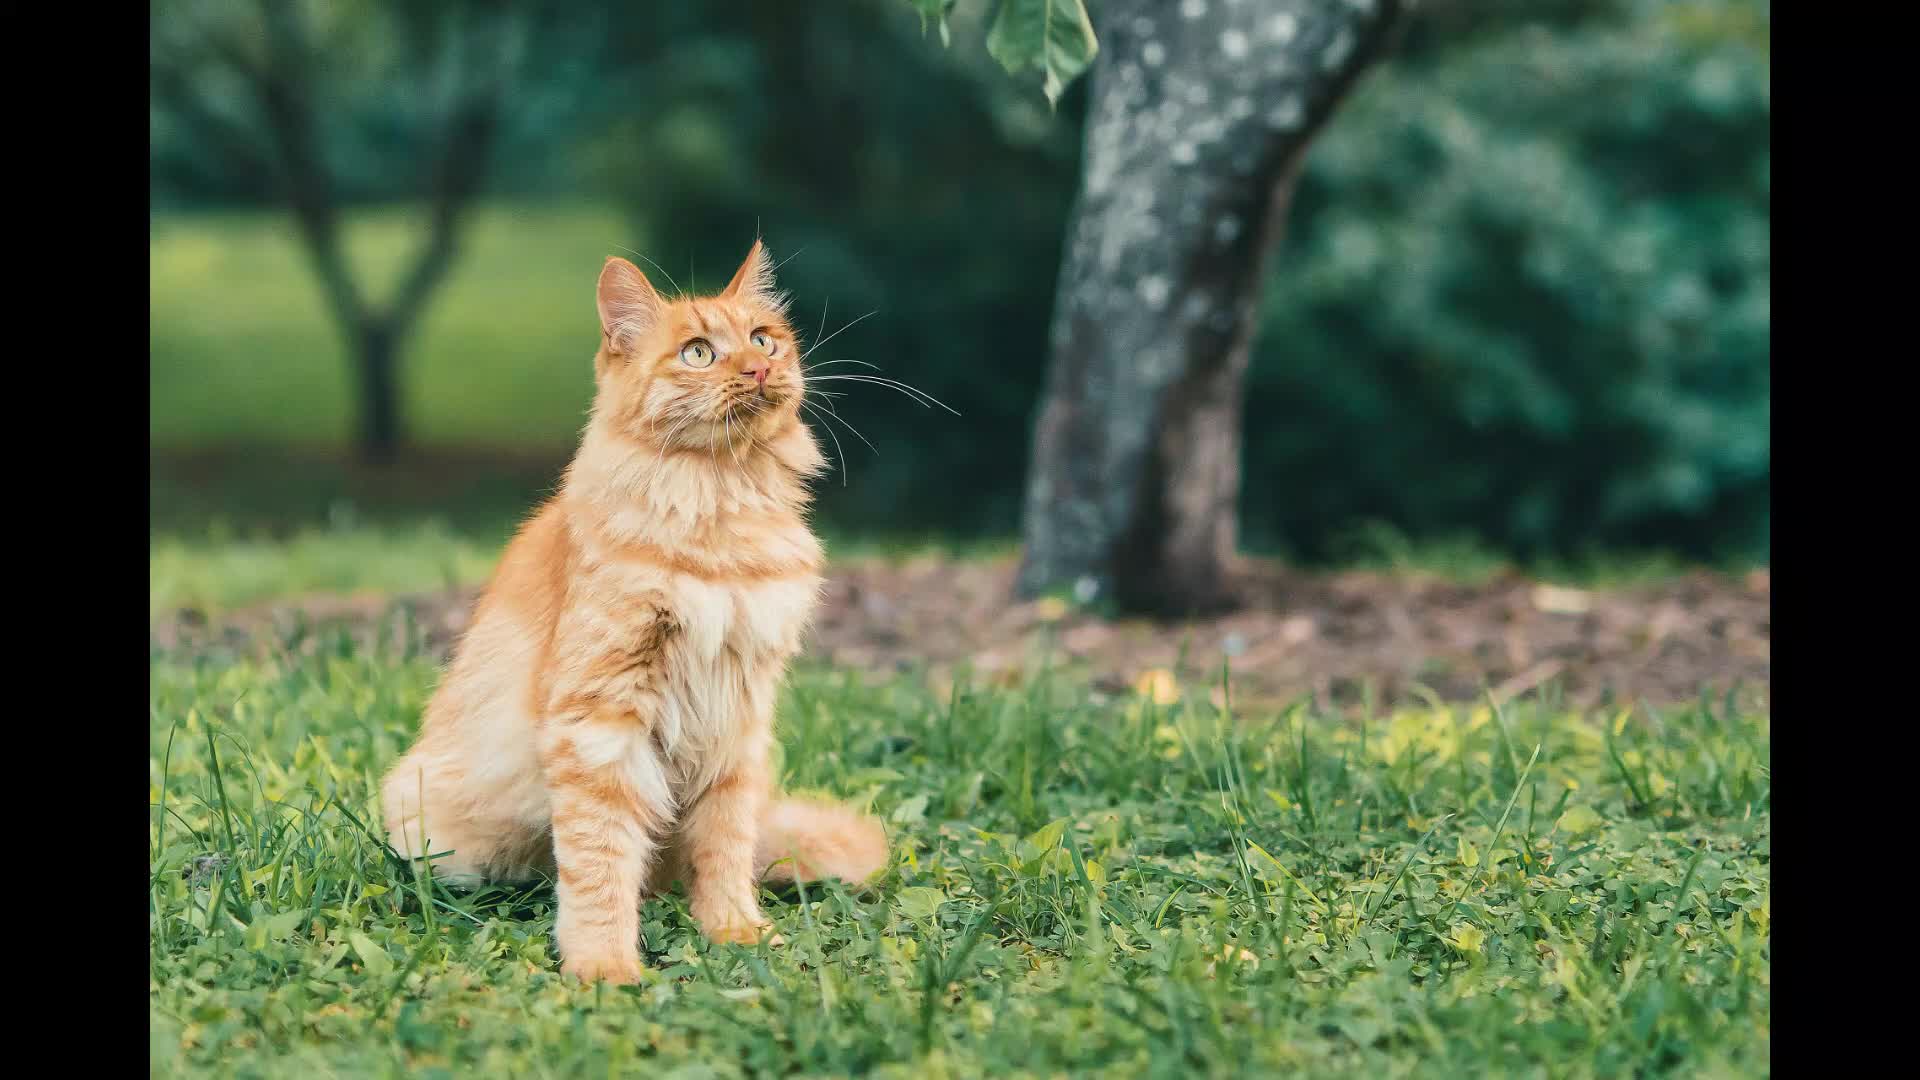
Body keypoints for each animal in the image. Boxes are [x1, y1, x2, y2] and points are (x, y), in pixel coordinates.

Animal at [384, 244, 890, 983]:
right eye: (699, 353)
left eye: (764, 339)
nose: (759, 368)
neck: (723, 509)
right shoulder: (600, 717)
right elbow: (600, 862)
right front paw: (603, 968)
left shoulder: (738, 718)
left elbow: (725, 843)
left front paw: (734, 930)